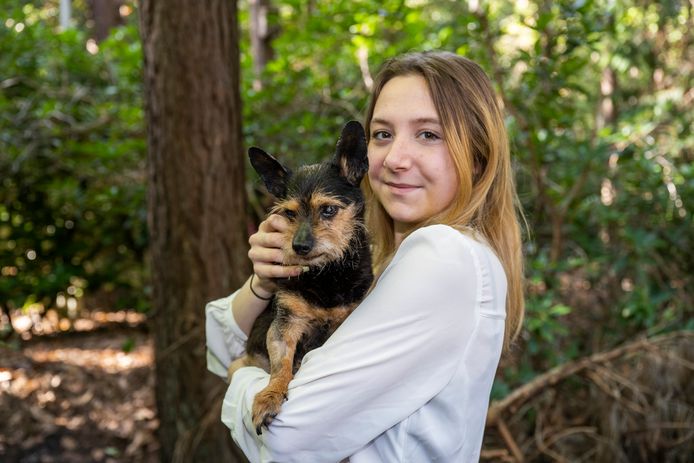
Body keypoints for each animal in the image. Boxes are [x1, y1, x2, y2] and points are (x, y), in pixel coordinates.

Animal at [232, 120, 376, 436]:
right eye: (289, 214)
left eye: (329, 209)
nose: (299, 246)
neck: (326, 275)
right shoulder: (284, 325)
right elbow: (280, 365)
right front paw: (271, 395)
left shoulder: (345, 319)